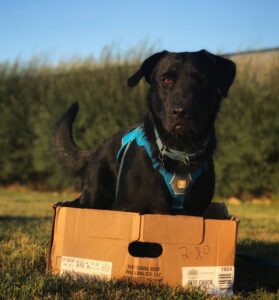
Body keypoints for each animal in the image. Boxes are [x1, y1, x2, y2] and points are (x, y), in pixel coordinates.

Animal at [52, 51, 236, 216]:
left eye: (201, 79)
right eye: (166, 79)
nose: (180, 111)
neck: (181, 150)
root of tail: (99, 147)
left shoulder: (194, 212)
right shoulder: (128, 207)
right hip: (94, 193)